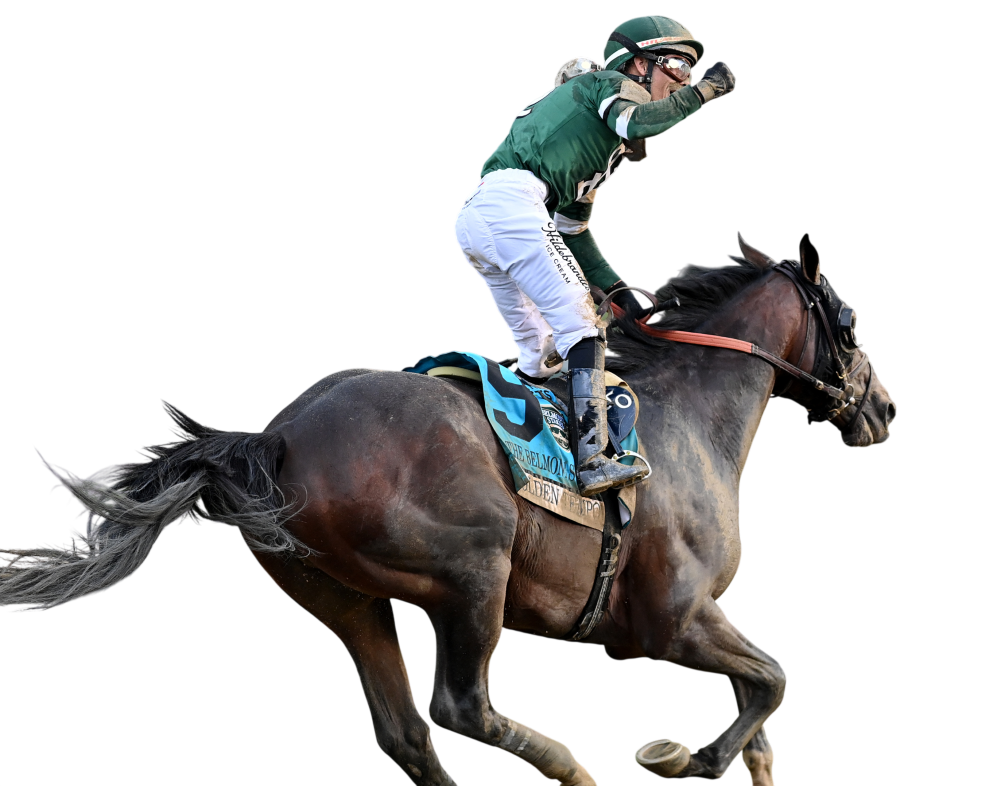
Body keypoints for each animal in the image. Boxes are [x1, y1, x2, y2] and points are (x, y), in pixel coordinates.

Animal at [1, 234, 895, 785]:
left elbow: (761, 704)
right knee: (459, 705)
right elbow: (771, 679)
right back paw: (569, 766)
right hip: (474, 571)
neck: (686, 418)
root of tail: (279, 433)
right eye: (851, 324)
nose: (882, 411)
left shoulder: (692, 616)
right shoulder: (671, 619)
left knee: (404, 732)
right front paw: (685, 757)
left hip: (343, 598)